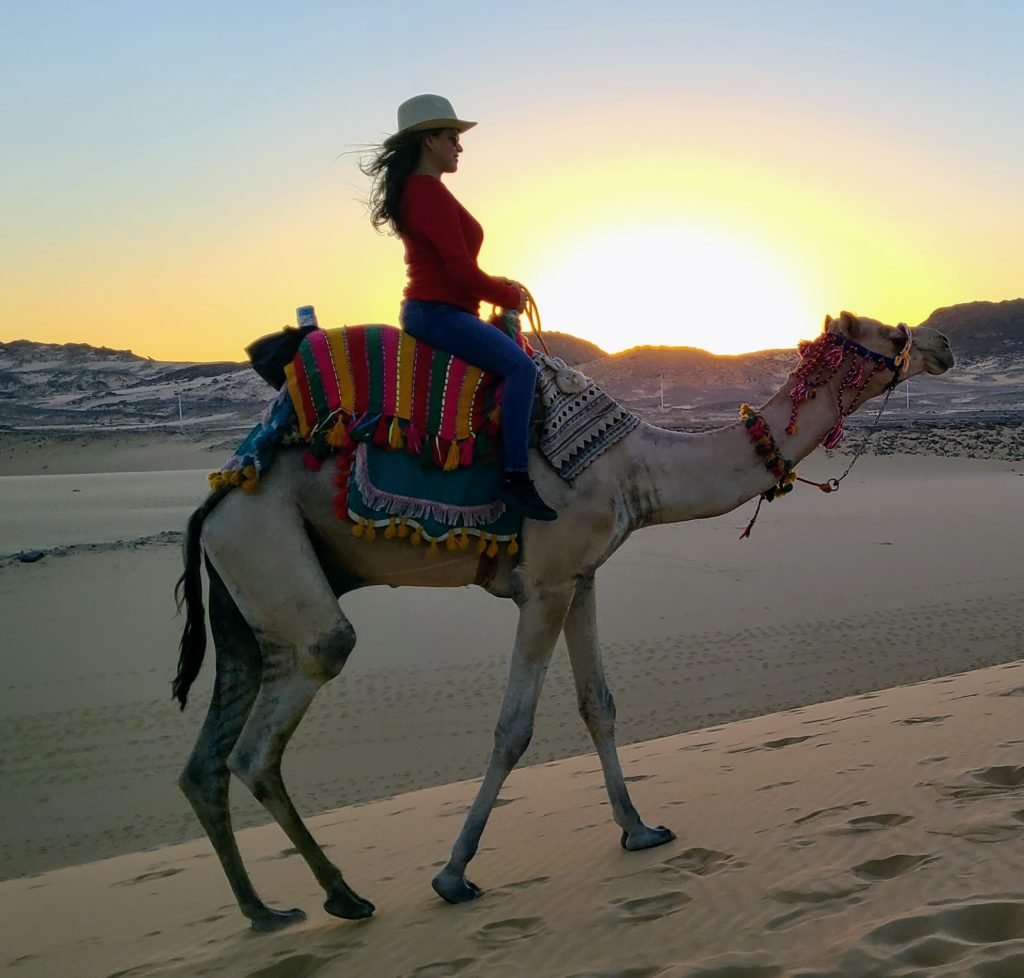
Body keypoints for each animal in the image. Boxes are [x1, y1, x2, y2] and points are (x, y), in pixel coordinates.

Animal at [173, 311, 954, 931]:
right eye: (892, 333)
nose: (942, 344)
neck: (640, 468)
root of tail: (212, 505)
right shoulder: (544, 583)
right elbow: (513, 728)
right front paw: (453, 874)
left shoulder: (583, 577)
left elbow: (597, 704)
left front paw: (639, 829)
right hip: (271, 551)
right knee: (281, 713)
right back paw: (343, 895)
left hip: (247, 599)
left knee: (207, 760)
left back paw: (264, 911)